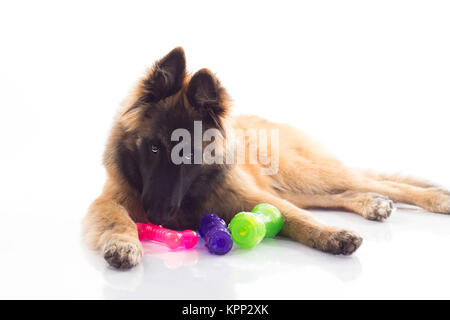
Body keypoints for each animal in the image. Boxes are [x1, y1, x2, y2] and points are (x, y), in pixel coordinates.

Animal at [81, 46, 450, 268]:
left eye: (189, 154)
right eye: (154, 148)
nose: (157, 215)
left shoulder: (250, 196)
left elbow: (296, 218)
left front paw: (332, 234)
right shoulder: (109, 200)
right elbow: (118, 220)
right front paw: (124, 244)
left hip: (302, 175)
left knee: (380, 183)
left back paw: (435, 199)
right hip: (297, 186)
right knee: (346, 192)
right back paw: (373, 203)